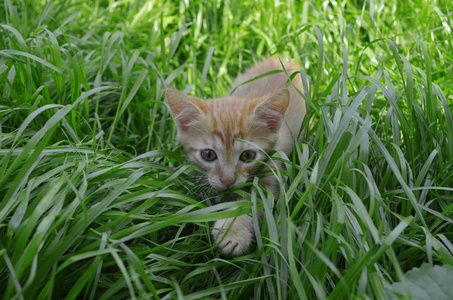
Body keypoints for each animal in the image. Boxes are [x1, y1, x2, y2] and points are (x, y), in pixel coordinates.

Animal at [165, 58, 304, 255]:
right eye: (208, 155)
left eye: (247, 155)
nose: (228, 180)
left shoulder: (272, 171)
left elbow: (250, 203)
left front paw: (232, 232)